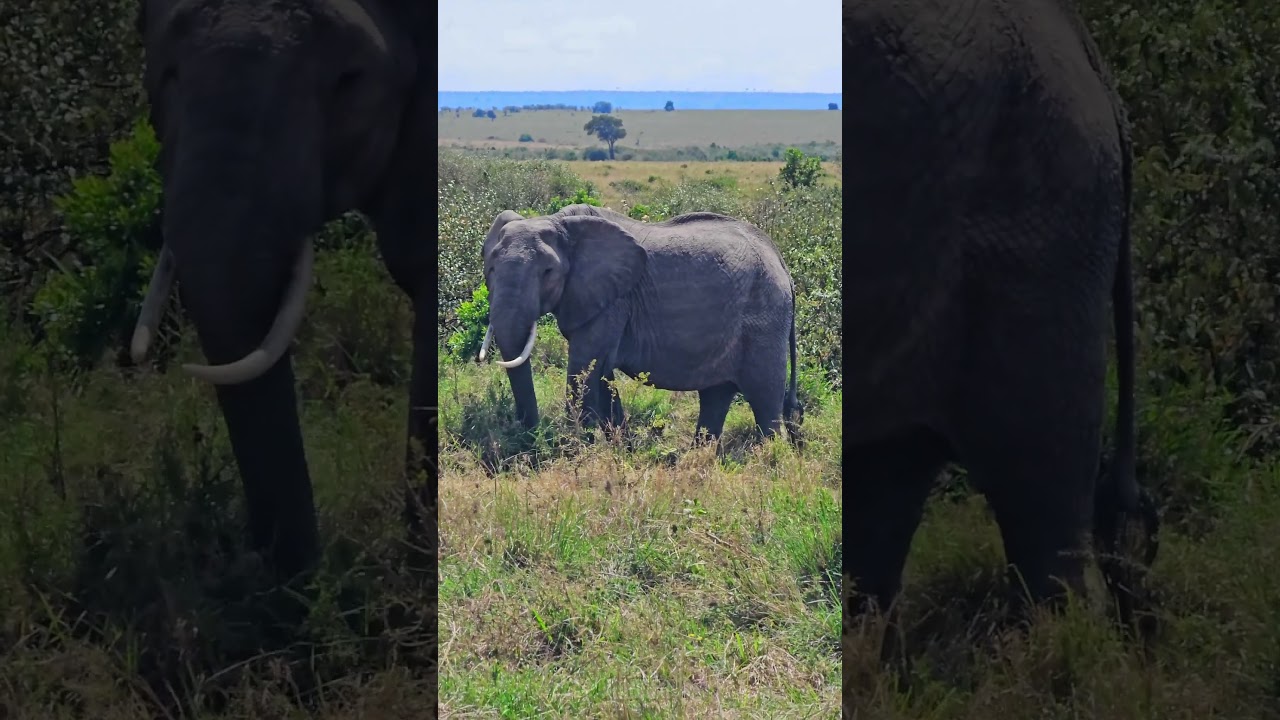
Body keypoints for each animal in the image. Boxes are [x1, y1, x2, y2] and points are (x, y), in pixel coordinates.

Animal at [477, 204, 801, 445]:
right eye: (489, 269)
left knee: (764, 399)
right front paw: (620, 449)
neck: (560, 222)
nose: (533, 437)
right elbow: (603, 379)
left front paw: (582, 451)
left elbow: (582, 376)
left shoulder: (613, 302)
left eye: (547, 272)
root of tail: (781, 261)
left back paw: (768, 460)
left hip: (764, 319)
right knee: (715, 396)